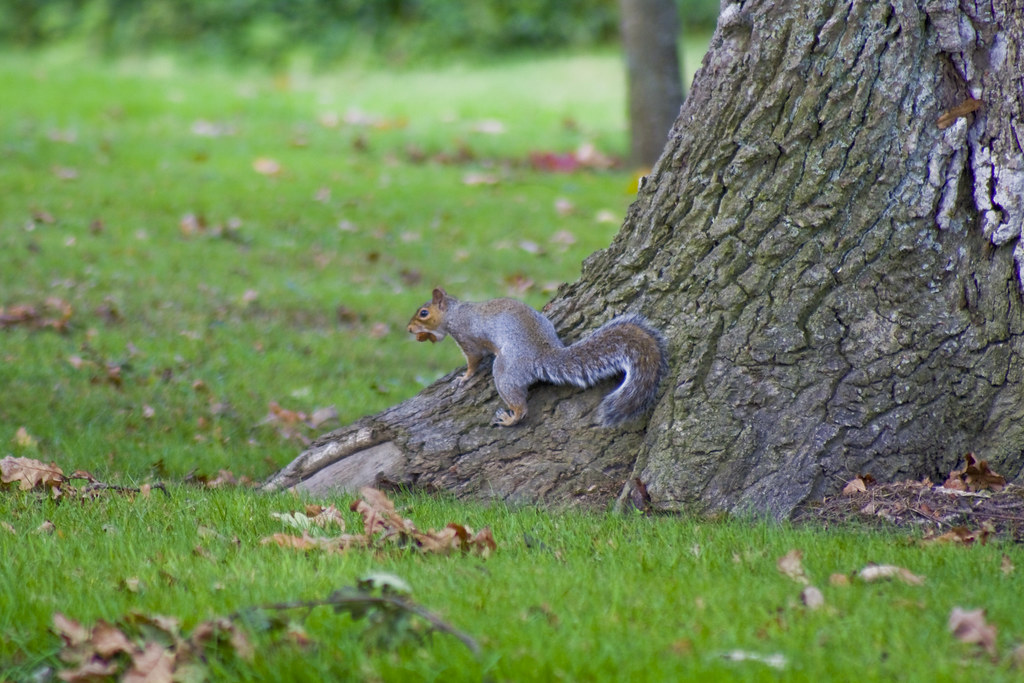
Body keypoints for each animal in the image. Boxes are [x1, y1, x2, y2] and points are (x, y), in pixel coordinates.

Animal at [407, 288, 667, 427]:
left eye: (423, 313)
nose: (409, 329)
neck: (454, 312)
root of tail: (543, 354)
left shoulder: (467, 338)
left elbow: (473, 360)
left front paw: (464, 377)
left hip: (505, 371)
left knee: (520, 405)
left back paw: (510, 418)